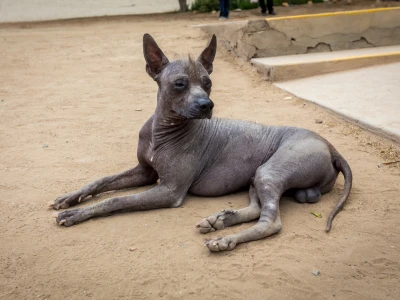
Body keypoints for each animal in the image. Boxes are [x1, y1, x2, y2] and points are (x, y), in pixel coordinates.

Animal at [51, 34, 352, 252]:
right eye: (180, 84)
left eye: (207, 82)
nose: (207, 105)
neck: (162, 131)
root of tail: (331, 146)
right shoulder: (144, 172)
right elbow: (101, 181)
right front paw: (70, 198)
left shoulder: (168, 190)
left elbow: (116, 200)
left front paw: (77, 213)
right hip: (257, 175)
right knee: (257, 207)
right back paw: (220, 220)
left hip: (270, 172)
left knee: (271, 221)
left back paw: (226, 239)